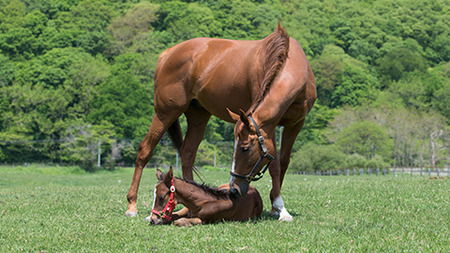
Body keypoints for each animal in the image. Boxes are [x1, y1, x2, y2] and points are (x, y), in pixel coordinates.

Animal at [125, 23, 316, 221]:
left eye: (244, 148)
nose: (234, 189)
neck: (289, 61)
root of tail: (167, 54)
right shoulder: (269, 124)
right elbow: (275, 164)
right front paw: (280, 208)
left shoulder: (295, 124)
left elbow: (283, 163)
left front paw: (275, 208)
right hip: (165, 113)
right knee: (145, 150)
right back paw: (132, 205)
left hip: (198, 116)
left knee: (187, 153)